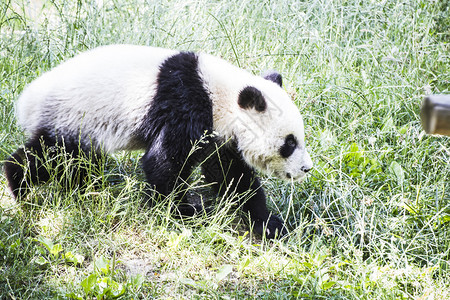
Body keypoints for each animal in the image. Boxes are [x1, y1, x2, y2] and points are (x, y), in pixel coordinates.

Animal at [4, 44, 312, 239]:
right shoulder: (186, 106)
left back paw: (84, 189)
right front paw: (184, 211)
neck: (221, 95)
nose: (306, 169)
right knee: (52, 156)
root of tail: (24, 102)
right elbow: (163, 163)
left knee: (80, 163)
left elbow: (230, 175)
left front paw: (268, 224)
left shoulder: (218, 133)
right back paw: (20, 187)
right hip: (70, 118)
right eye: (289, 143)